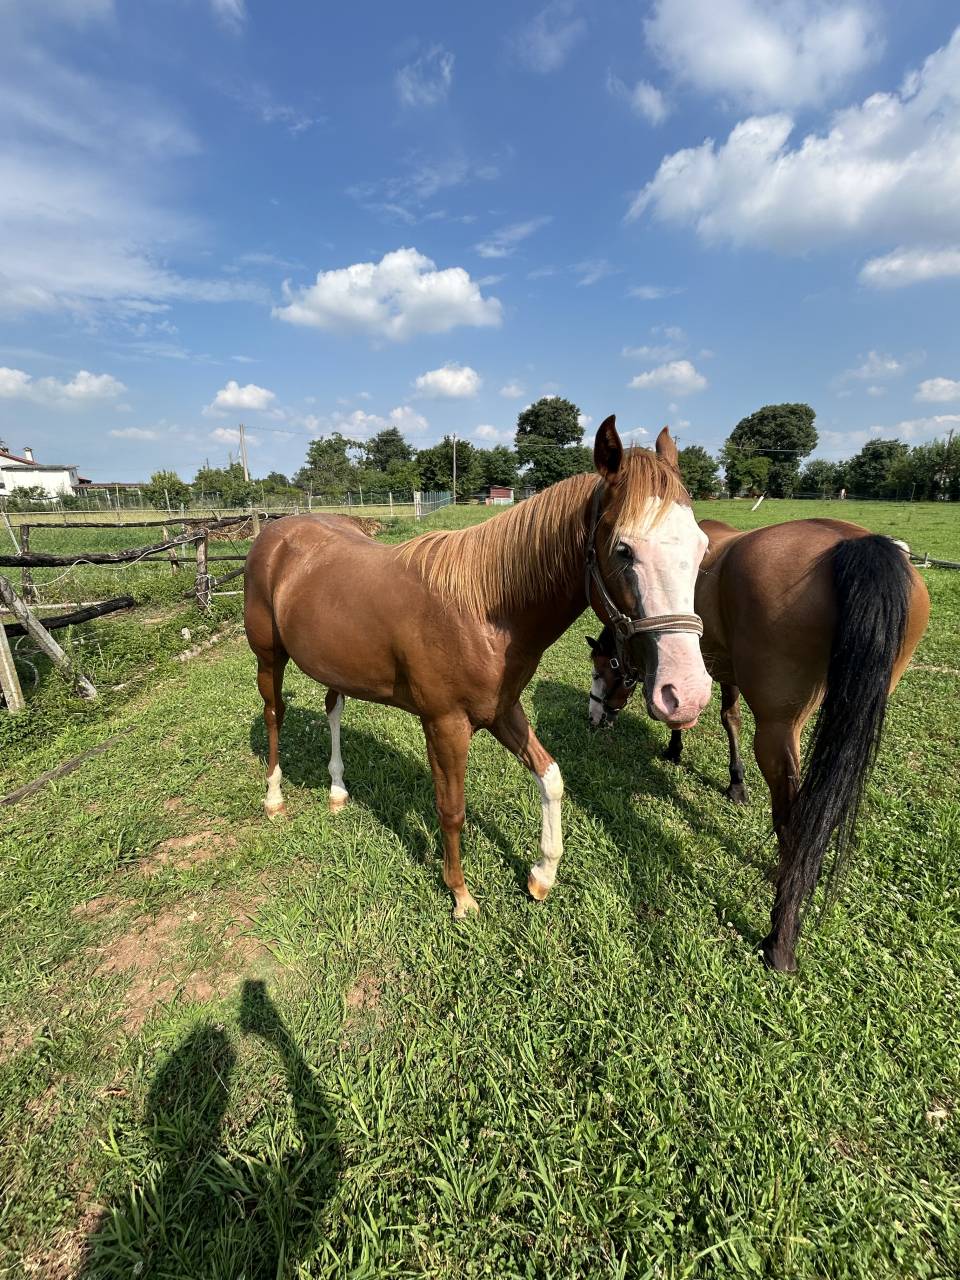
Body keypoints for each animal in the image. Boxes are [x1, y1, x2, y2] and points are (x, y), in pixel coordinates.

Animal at [244, 419, 712, 919]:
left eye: (702, 546)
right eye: (623, 549)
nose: (687, 693)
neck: (483, 611)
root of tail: (277, 531)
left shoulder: (502, 711)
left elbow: (551, 778)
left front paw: (542, 875)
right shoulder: (445, 725)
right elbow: (452, 809)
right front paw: (461, 896)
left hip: (335, 667)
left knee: (333, 709)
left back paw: (337, 789)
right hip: (269, 659)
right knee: (275, 715)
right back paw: (273, 798)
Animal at [585, 517, 930, 972]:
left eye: (601, 667)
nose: (595, 716)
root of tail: (855, 544)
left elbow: (687, 713)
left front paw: (675, 750)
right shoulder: (720, 666)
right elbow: (728, 717)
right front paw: (735, 783)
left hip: (777, 731)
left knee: (794, 825)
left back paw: (780, 938)